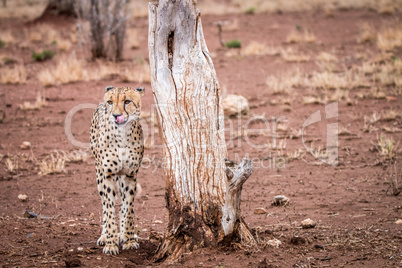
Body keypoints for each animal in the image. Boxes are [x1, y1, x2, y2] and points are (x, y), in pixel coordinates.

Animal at [89, 86, 144, 255]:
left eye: (127, 101)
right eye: (110, 102)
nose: (115, 115)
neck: (122, 135)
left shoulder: (130, 175)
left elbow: (127, 208)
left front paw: (129, 238)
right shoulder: (107, 175)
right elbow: (109, 209)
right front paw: (110, 242)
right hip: (99, 174)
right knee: (105, 205)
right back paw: (104, 236)